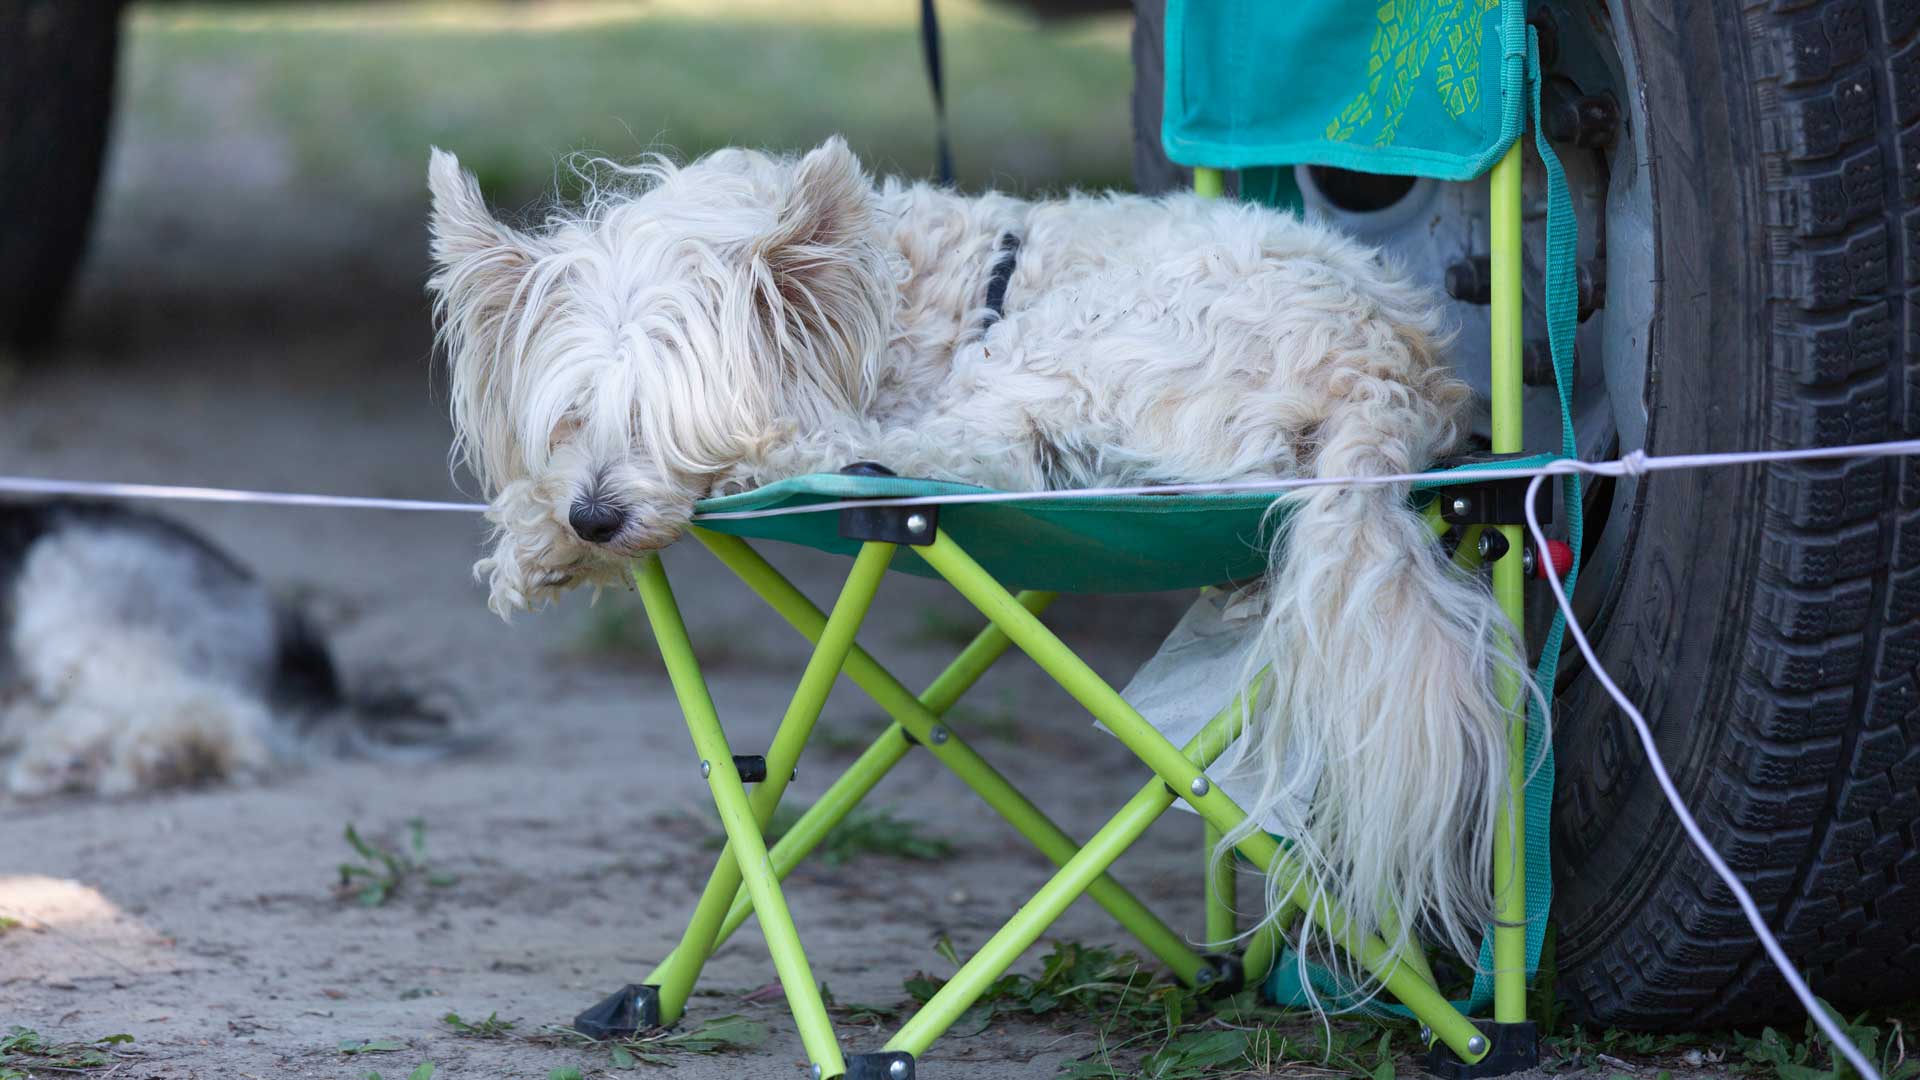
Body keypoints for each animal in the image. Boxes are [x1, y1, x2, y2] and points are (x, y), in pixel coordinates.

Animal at [424, 138, 1528, 980]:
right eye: (571, 414)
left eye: (668, 419)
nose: (594, 518)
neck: (890, 302)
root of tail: (1388, 376)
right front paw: (540, 541)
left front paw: (538, 539)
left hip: (1068, 349)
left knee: (961, 456)